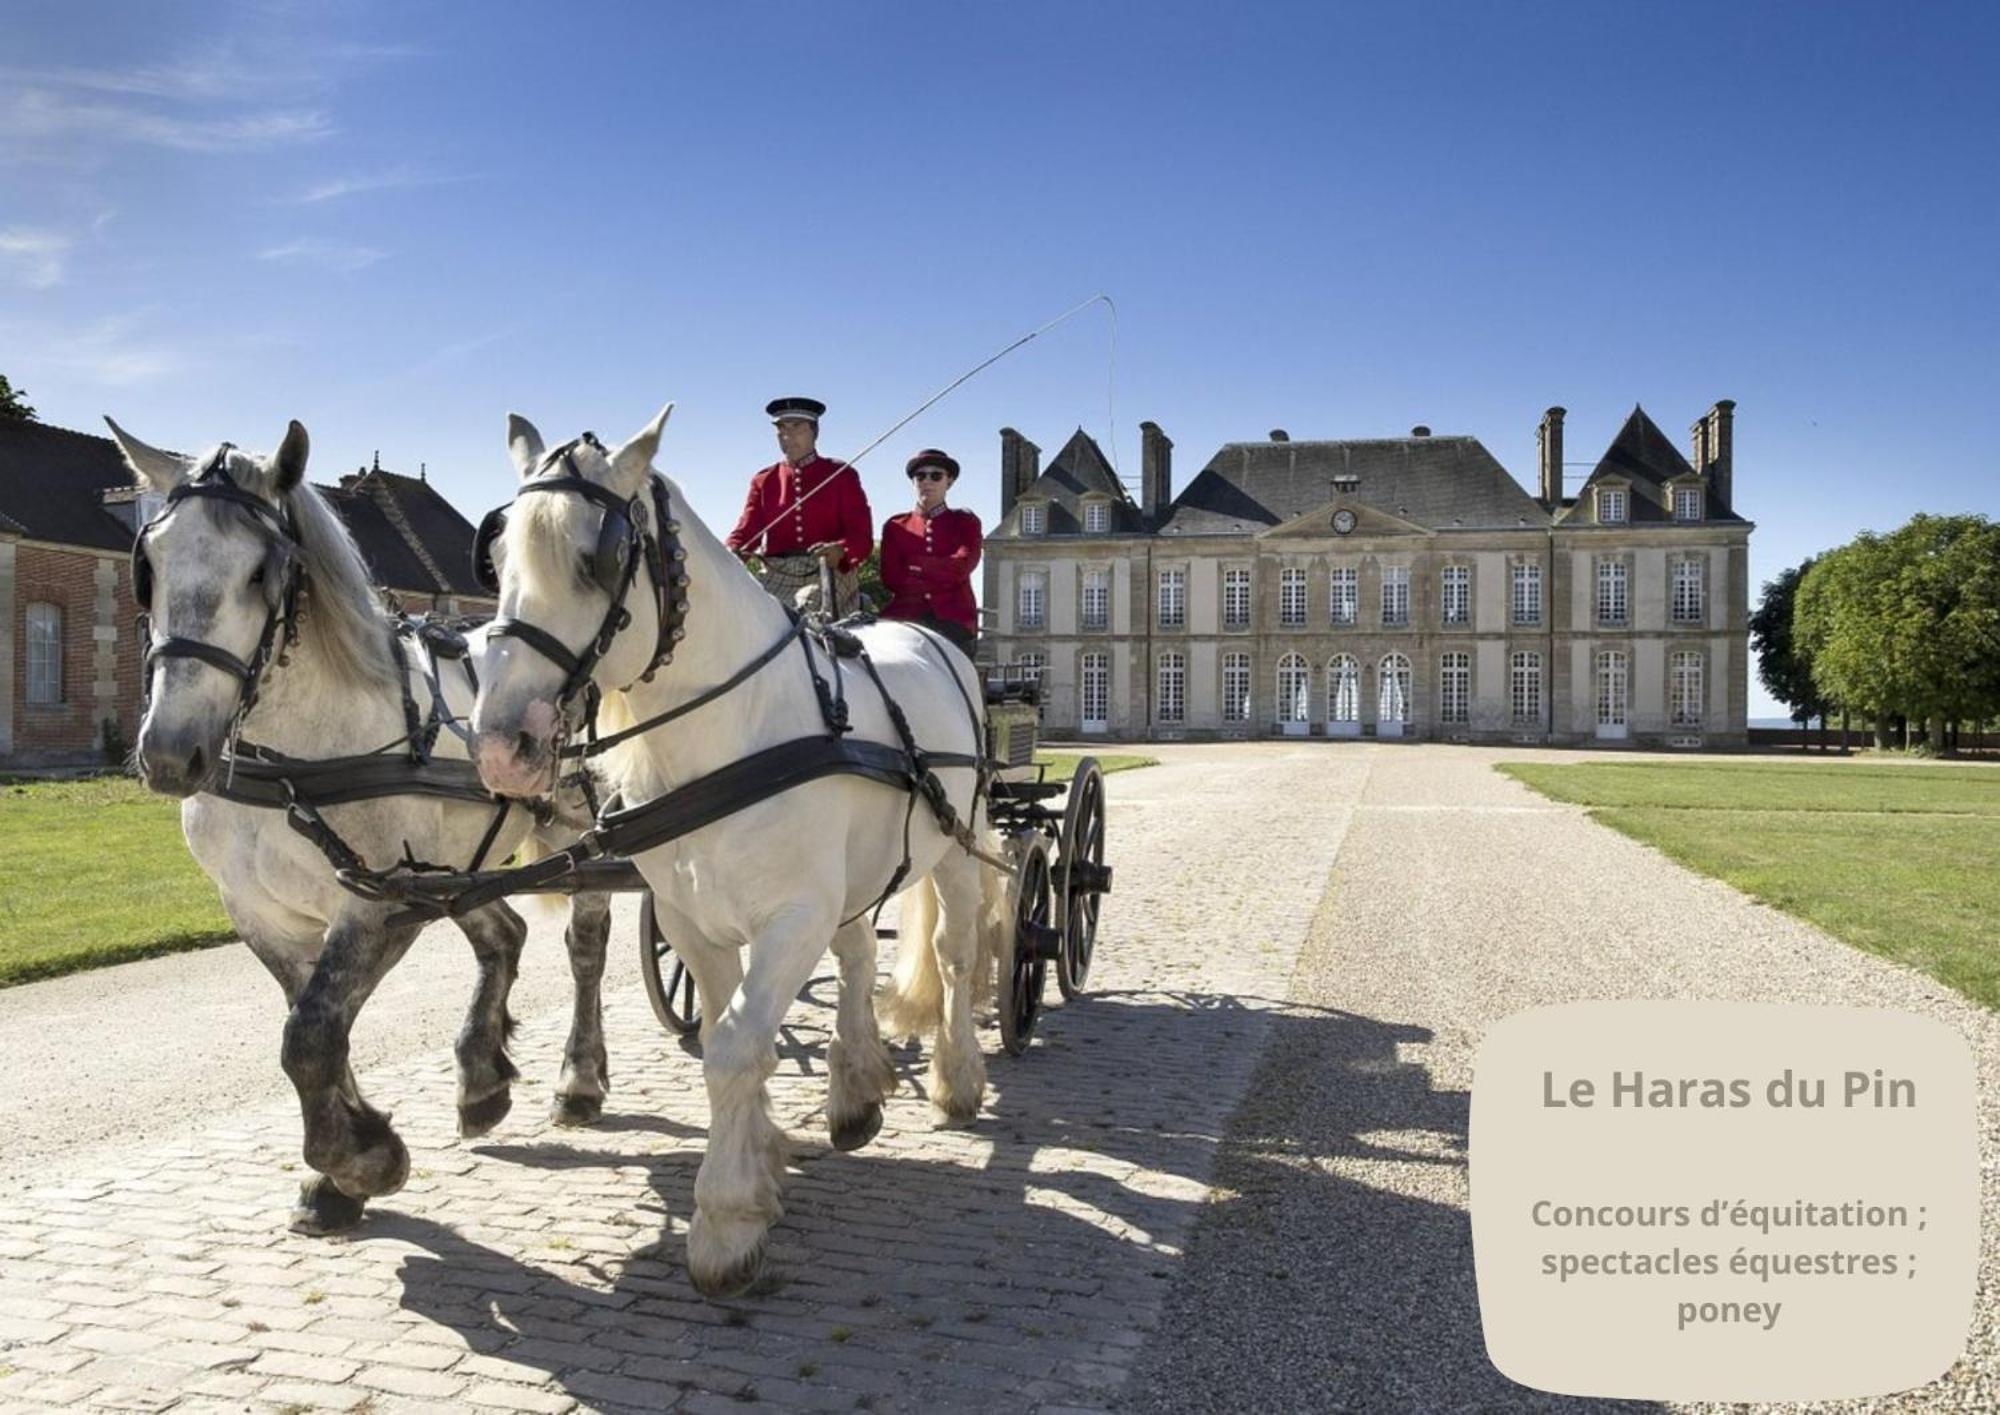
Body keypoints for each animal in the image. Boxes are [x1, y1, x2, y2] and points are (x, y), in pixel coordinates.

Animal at [109, 413, 616, 1231]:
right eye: (147, 565)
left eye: (262, 572)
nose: (170, 752)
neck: (296, 758)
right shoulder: (261, 911)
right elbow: (315, 1024)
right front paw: (339, 1172)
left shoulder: (379, 902)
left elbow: (310, 1036)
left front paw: (359, 1161)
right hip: (450, 865)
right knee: (504, 935)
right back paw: (481, 1078)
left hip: (572, 834)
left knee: (585, 947)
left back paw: (579, 1079)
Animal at [466, 403, 1000, 1295]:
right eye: (498, 555)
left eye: (598, 557)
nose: (505, 745)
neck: (732, 732)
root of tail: (929, 637)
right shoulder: (692, 921)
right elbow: (727, 1033)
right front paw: (763, 1163)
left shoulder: (791, 918)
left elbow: (736, 1047)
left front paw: (725, 1220)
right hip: (850, 877)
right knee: (858, 955)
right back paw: (856, 1088)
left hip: (954, 852)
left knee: (955, 956)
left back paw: (956, 1081)